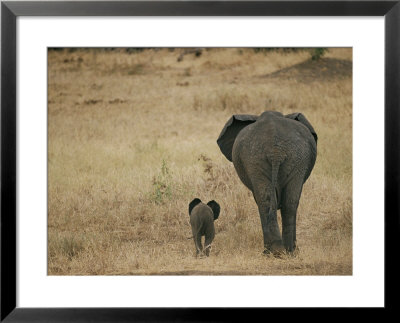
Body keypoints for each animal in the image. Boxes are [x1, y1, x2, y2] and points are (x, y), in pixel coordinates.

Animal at [217, 111, 318, 256]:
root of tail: (276, 151)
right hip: (291, 159)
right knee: (287, 202)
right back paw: (286, 252)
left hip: (264, 159)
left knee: (267, 201)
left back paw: (275, 252)